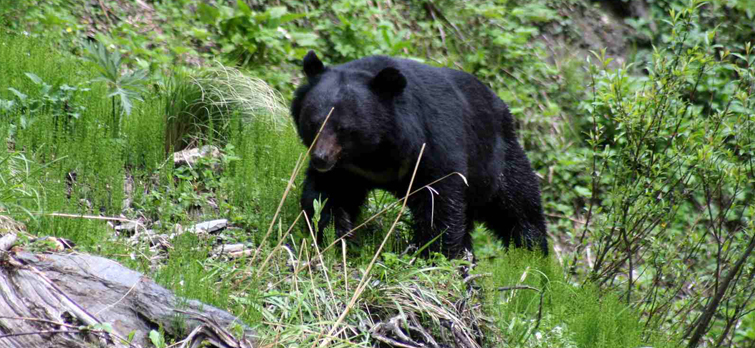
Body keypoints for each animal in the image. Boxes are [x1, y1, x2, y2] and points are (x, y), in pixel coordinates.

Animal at [290, 51, 548, 258]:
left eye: (343, 128)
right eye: (313, 123)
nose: (321, 158)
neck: (375, 152)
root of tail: (503, 106)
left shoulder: (431, 146)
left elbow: (439, 201)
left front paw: (431, 251)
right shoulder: (346, 170)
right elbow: (327, 195)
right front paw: (336, 234)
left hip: (495, 159)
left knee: (518, 205)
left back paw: (531, 256)